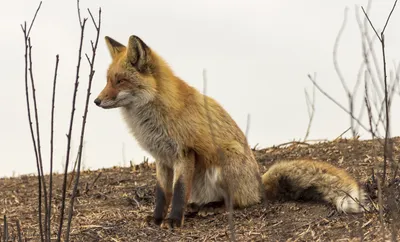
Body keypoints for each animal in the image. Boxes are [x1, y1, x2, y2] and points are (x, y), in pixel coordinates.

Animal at [94, 35, 366, 228]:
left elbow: (179, 192)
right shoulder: (161, 158)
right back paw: (199, 207)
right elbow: (163, 193)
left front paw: (173, 221)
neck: (152, 117)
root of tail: (259, 185)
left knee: (238, 202)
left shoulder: (184, 152)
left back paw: (211, 208)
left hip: (223, 161)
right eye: (107, 80)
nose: (96, 101)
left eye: (120, 81)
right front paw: (158, 219)